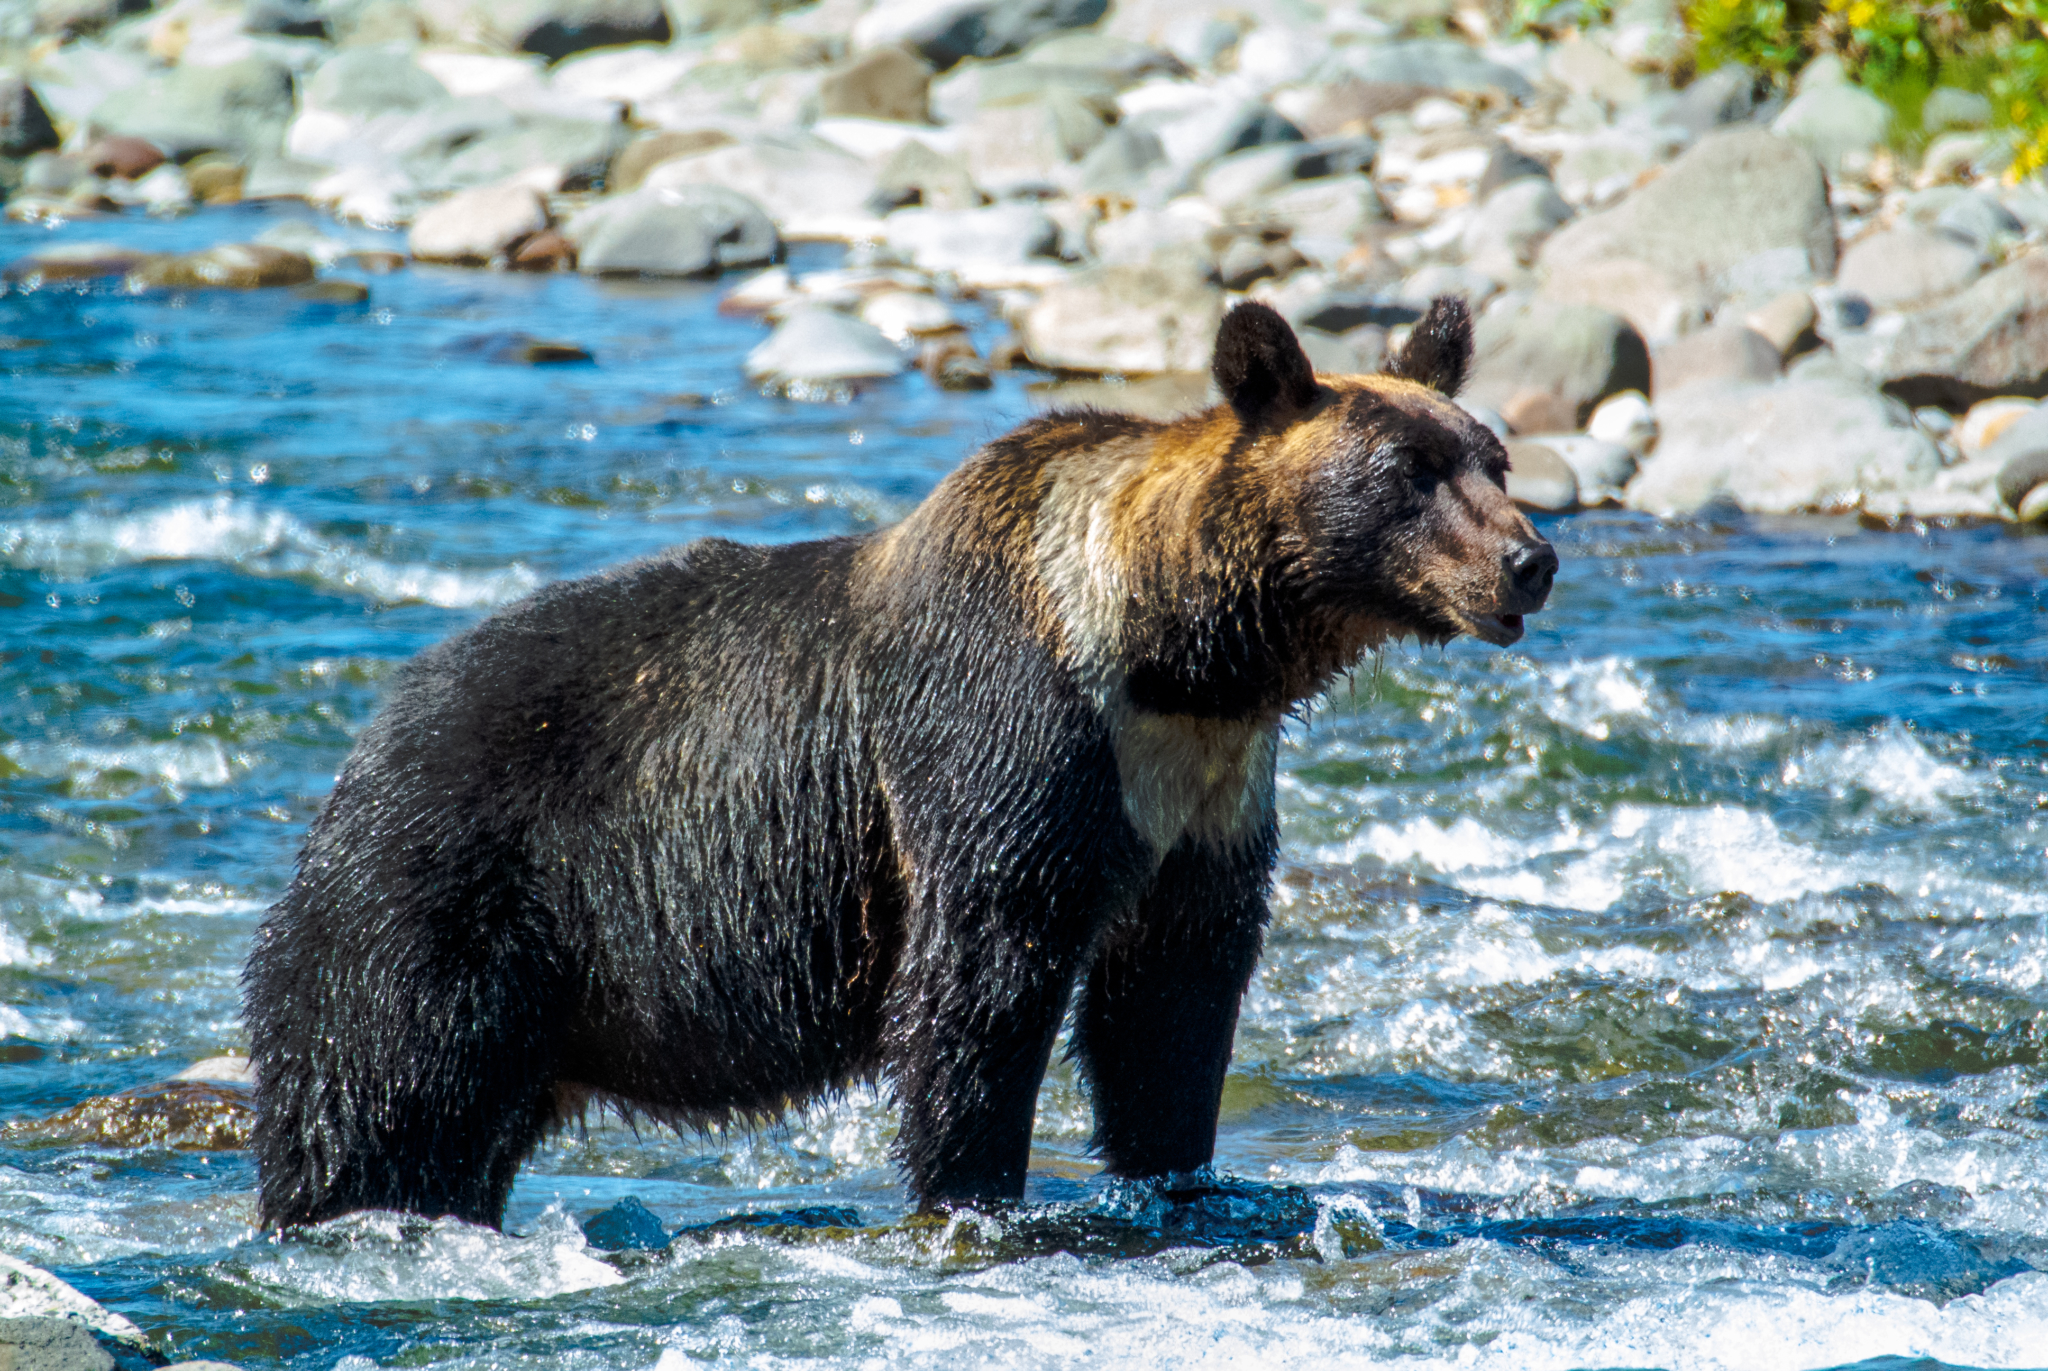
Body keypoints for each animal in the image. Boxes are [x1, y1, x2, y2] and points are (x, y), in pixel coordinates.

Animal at [243, 295, 1548, 1221]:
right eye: (1407, 475)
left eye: (1492, 459)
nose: (1527, 560)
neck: (1180, 662)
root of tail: (365, 739)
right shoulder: (1006, 745)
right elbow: (980, 979)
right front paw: (970, 1187)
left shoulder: (1203, 801)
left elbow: (1171, 1005)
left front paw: (1175, 1168)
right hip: (443, 896)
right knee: (378, 1099)